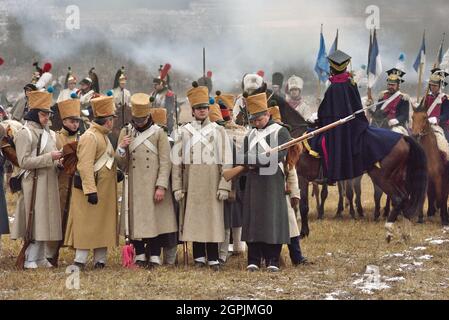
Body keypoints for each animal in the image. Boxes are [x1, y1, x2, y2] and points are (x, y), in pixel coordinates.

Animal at [298, 134, 428, 241]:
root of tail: (403, 138)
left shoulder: (301, 177)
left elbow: (303, 206)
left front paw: (303, 232)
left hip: (381, 178)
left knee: (397, 198)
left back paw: (388, 229)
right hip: (397, 178)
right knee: (405, 199)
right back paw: (406, 233)